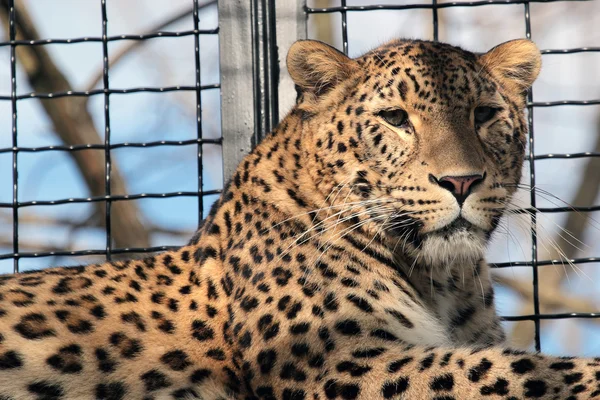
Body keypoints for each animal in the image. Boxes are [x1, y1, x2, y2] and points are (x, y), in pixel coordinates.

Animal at [1, 36, 600, 396]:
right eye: (394, 118)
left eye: (485, 114)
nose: (460, 181)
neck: (442, 278)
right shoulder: (341, 360)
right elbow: (512, 370)